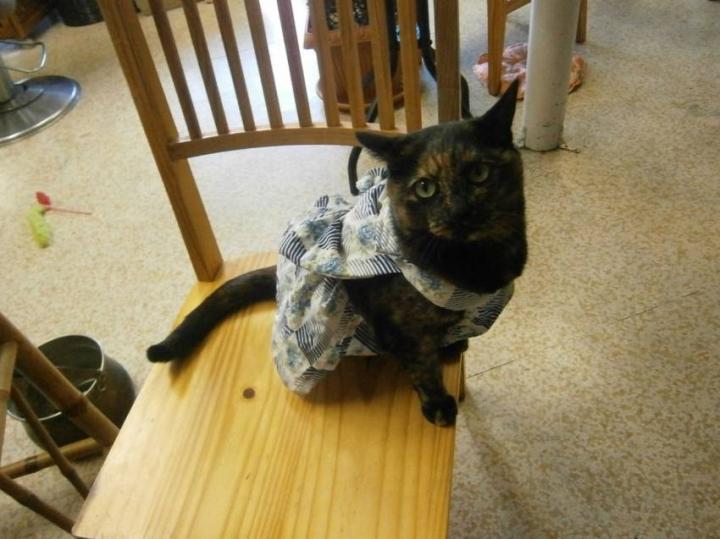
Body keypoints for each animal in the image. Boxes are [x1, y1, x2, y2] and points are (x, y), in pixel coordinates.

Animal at [147, 79, 526, 427]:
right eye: (425, 188)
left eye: (479, 173)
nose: (460, 212)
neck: (475, 264)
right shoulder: (399, 328)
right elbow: (421, 365)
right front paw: (437, 402)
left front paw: (451, 346)